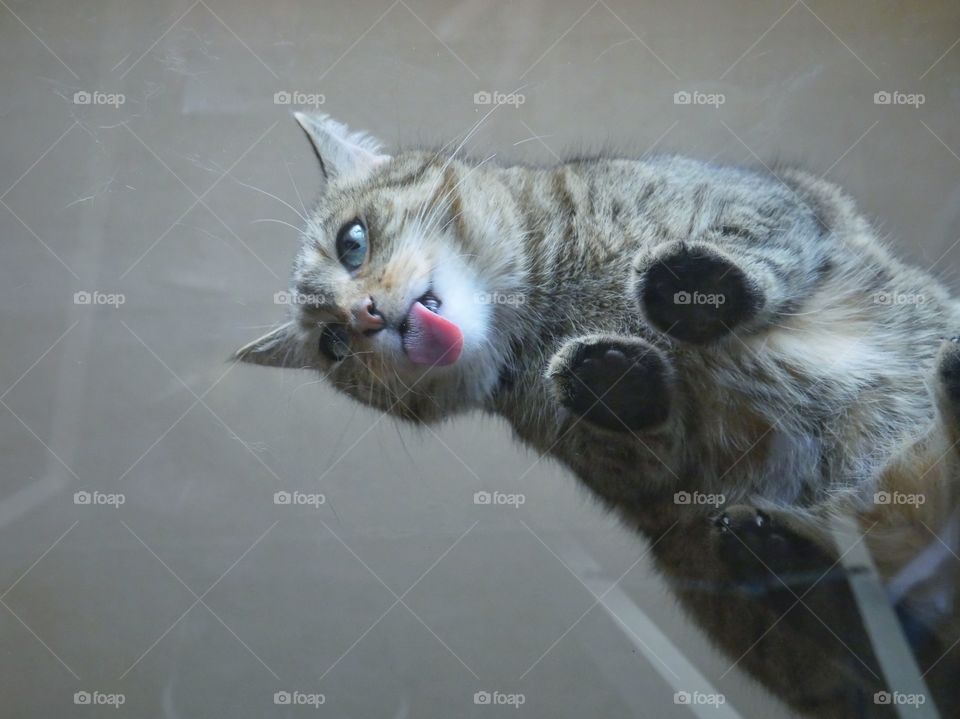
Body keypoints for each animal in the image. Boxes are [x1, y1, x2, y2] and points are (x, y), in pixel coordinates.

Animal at [234, 112, 960, 716]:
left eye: (352, 242)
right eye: (333, 345)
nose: (362, 317)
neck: (560, 305)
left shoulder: (772, 199)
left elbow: (748, 245)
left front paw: (687, 287)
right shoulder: (650, 475)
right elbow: (645, 427)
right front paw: (611, 375)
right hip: (707, 564)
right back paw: (772, 550)